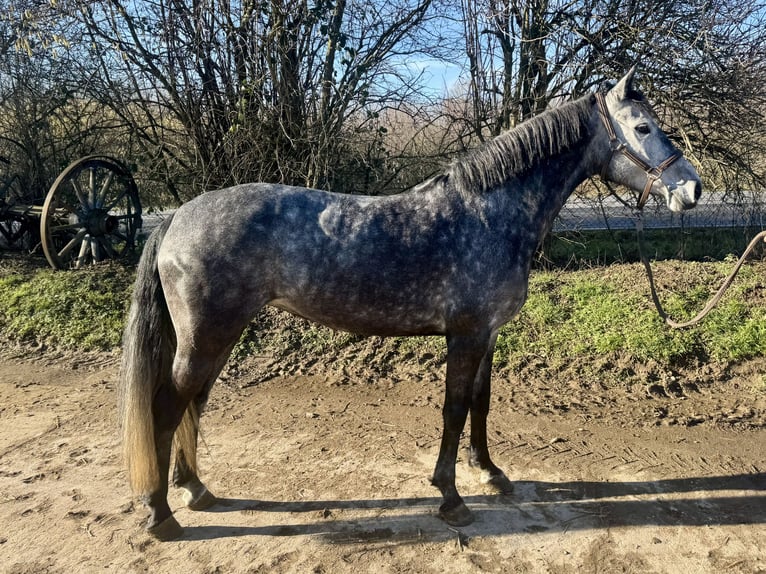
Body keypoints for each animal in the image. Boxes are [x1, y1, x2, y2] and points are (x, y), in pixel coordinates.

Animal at [118, 67, 704, 540]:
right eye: (643, 127)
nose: (692, 190)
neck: (489, 213)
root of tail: (176, 217)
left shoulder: (489, 334)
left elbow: (480, 405)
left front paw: (491, 473)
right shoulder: (466, 334)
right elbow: (453, 408)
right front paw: (451, 497)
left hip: (215, 339)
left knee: (193, 405)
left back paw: (196, 490)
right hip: (207, 337)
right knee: (167, 408)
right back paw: (160, 515)